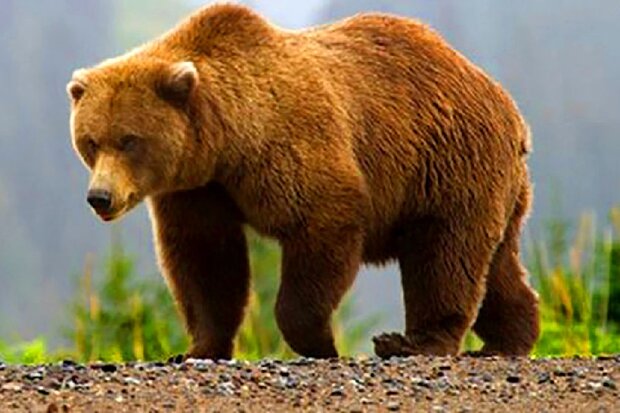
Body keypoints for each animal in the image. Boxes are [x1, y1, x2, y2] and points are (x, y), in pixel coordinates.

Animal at [66, 2, 536, 358]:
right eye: (90, 141)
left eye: (129, 140)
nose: (100, 196)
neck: (227, 141)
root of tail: (508, 107)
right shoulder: (198, 188)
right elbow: (205, 260)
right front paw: (197, 347)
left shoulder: (290, 149)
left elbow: (322, 225)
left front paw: (320, 342)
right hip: (488, 184)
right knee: (495, 263)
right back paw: (511, 337)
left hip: (447, 163)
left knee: (444, 254)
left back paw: (412, 343)